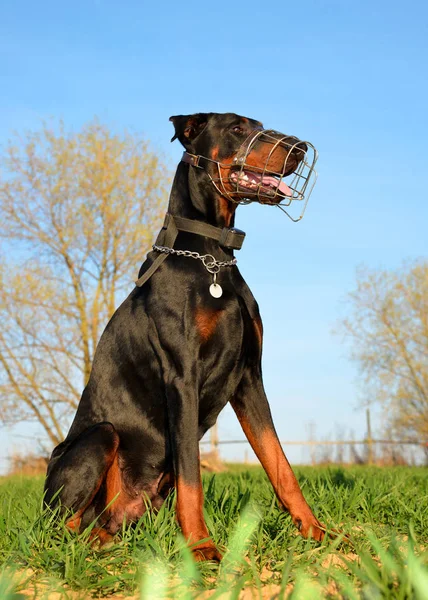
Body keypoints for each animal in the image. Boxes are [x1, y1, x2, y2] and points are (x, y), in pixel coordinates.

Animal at [44, 113, 324, 564]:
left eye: (258, 124)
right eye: (238, 128)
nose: (299, 149)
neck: (213, 257)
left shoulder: (250, 378)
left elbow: (280, 464)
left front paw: (317, 532)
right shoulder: (182, 377)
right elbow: (193, 476)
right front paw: (201, 546)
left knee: (100, 527)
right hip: (99, 437)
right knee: (62, 529)